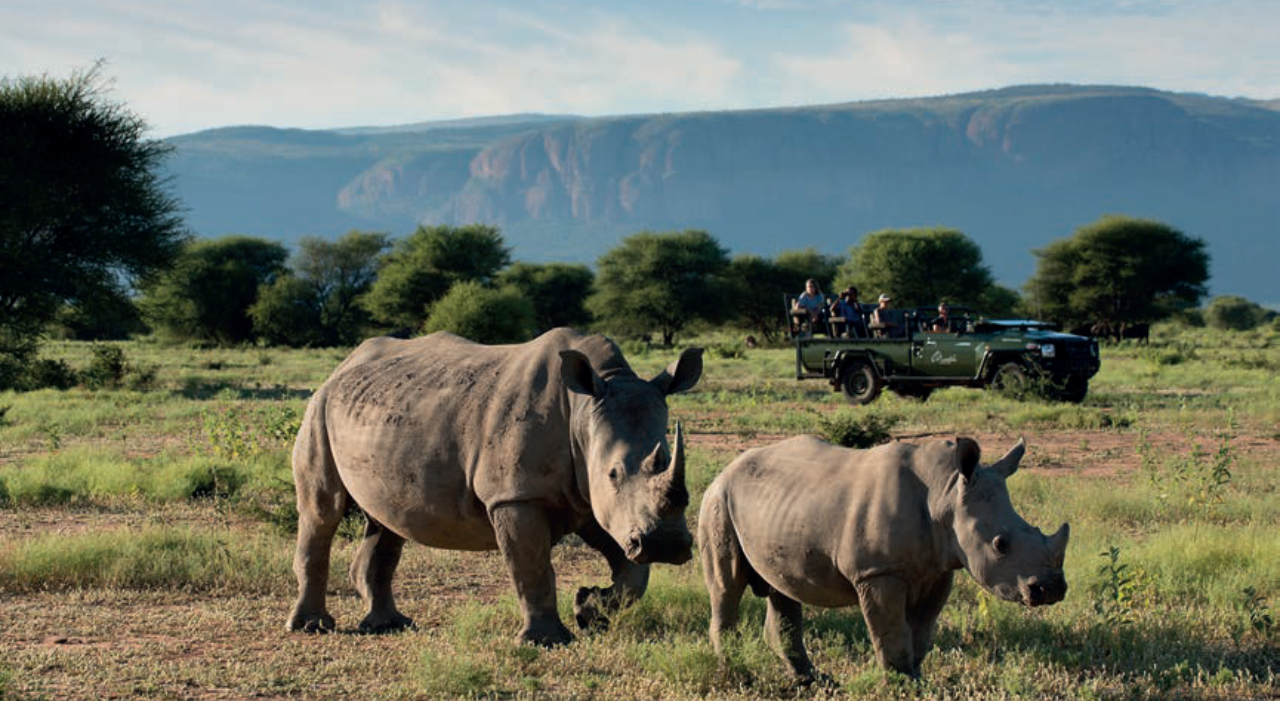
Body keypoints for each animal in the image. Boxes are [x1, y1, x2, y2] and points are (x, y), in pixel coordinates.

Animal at [701, 434, 1070, 675]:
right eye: (1000, 544)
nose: (1052, 589)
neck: (945, 492)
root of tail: (727, 467)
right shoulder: (877, 572)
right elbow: (892, 635)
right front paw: (898, 684)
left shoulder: (939, 569)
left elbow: (921, 636)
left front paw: (916, 682)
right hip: (718, 499)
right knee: (726, 586)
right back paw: (735, 673)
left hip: (777, 507)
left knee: (783, 589)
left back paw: (812, 681)